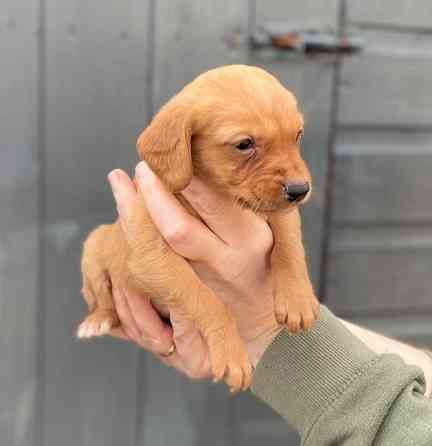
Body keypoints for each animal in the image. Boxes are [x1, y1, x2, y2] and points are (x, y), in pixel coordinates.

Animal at [77, 64, 320, 392]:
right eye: (244, 144)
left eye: (297, 136)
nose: (300, 190)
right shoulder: (154, 259)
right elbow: (207, 300)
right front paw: (231, 355)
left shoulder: (280, 211)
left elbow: (289, 245)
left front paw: (297, 299)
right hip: (93, 246)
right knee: (101, 299)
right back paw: (97, 319)